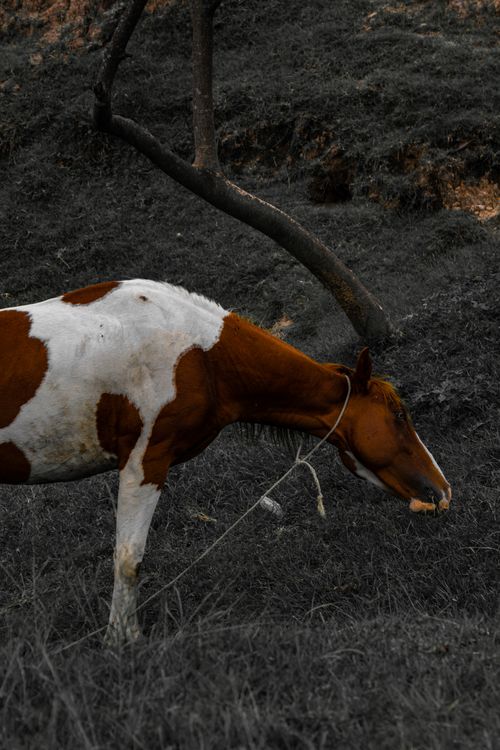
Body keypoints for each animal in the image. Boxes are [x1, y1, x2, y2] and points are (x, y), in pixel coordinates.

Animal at [0, 279, 451, 642]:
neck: (201, 354)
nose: (443, 490)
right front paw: (121, 642)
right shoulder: (145, 461)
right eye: (399, 414)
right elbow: (129, 560)